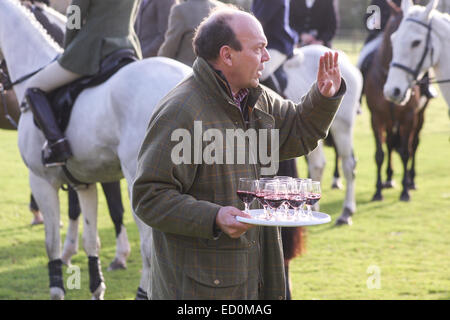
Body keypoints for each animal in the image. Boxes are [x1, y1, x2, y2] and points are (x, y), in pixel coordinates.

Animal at [0, 0, 192, 300]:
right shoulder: (84, 184)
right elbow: (91, 242)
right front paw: (96, 289)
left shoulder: (41, 181)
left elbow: (52, 245)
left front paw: (58, 290)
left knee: (151, 249)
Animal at [366, 5, 428, 201]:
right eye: (394, 36)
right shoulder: (376, 117)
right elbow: (380, 154)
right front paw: (378, 191)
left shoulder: (408, 117)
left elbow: (407, 152)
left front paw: (405, 191)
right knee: (391, 143)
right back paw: (388, 178)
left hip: (419, 117)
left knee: (413, 144)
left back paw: (411, 180)